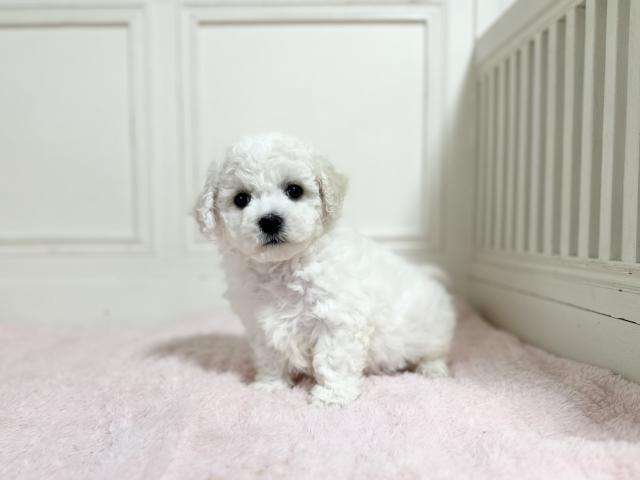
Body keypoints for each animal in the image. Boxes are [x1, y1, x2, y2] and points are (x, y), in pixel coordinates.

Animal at [194, 133, 455, 405]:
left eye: (294, 190)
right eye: (241, 199)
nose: (270, 221)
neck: (283, 266)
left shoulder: (338, 318)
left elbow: (334, 359)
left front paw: (332, 396)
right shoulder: (261, 324)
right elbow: (270, 356)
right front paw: (270, 385)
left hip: (432, 329)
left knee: (436, 352)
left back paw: (432, 369)